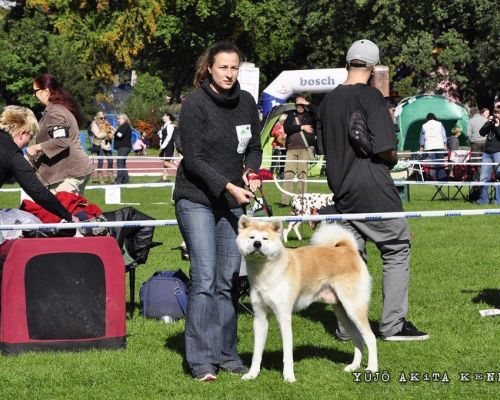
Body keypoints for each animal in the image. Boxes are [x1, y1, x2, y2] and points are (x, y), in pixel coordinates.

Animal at [236, 214, 376, 382]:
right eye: (251, 237)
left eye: (265, 238)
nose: (257, 244)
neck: (265, 273)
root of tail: (347, 249)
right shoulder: (260, 318)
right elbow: (257, 352)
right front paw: (252, 374)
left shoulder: (283, 316)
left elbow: (287, 353)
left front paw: (289, 377)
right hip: (342, 311)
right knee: (358, 338)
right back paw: (354, 366)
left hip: (354, 308)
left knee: (370, 338)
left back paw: (372, 369)